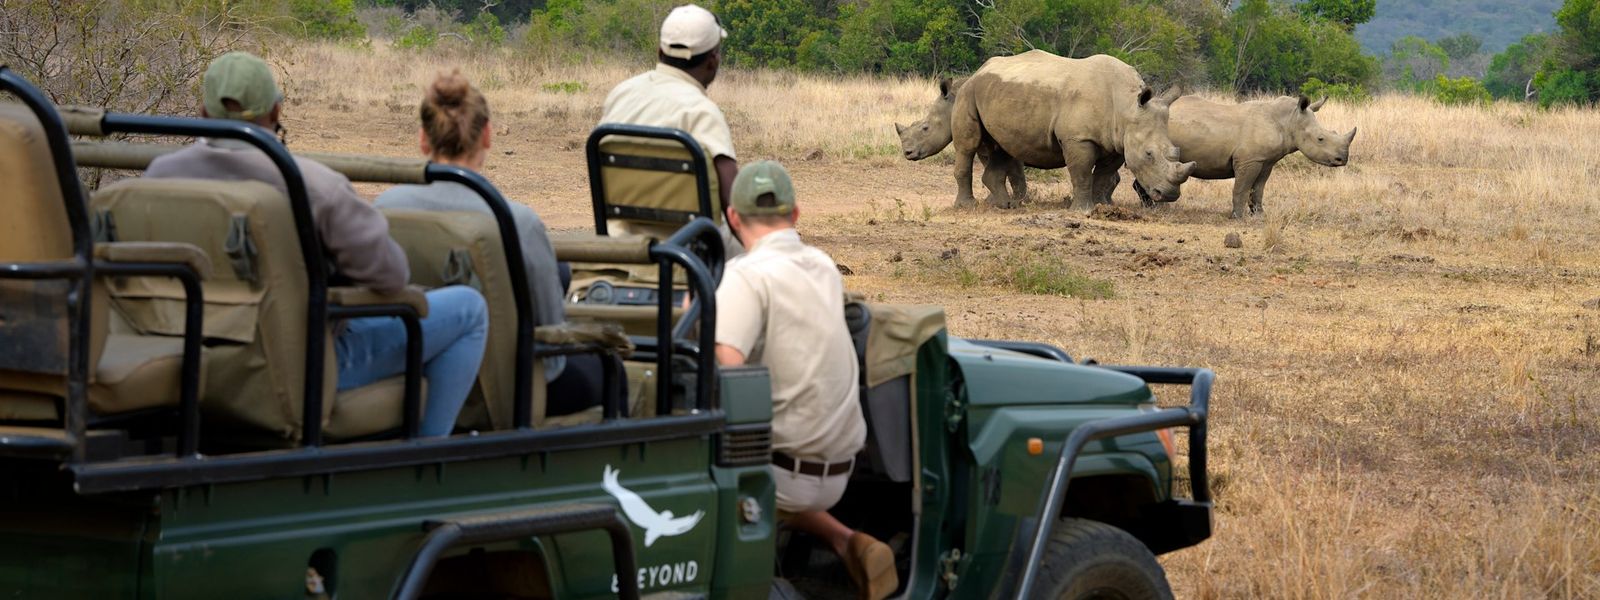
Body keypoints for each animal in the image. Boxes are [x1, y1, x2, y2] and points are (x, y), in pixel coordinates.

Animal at [896, 50, 1194, 211]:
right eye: (1148, 155)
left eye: (1175, 151)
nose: (1169, 195)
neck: (1127, 105)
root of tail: (979, 70)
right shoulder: (1078, 138)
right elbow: (1081, 173)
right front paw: (1082, 211)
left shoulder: (1116, 141)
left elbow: (1102, 175)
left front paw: (1103, 207)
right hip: (970, 95)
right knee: (967, 148)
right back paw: (968, 206)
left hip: (998, 95)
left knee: (1003, 148)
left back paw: (1005, 206)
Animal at [1134, 95, 1357, 218]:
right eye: (1321, 139)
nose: (1342, 160)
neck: (1289, 121)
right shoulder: (1249, 160)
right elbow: (1242, 187)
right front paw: (1237, 217)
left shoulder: (1266, 161)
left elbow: (1258, 189)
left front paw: (1259, 215)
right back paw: (1156, 207)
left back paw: (1151, 206)